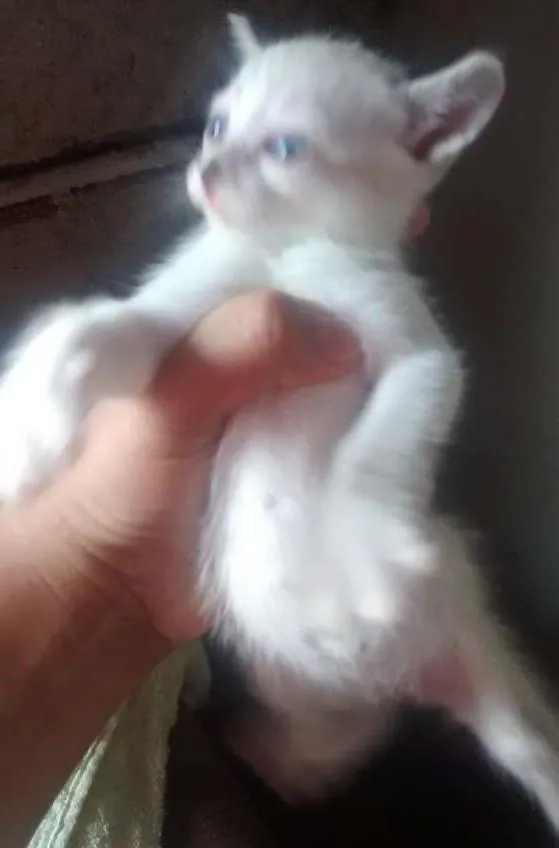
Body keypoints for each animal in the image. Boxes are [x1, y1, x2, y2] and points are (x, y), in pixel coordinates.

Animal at [2, 12, 559, 832]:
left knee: (526, 749)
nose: (205, 170)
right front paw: (32, 417)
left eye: (286, 148)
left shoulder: (422, 359)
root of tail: (403, 677)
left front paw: (369, 548)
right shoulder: (195, 326)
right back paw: (277, 753)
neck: (284, 255)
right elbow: (110, 327)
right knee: (332, 753)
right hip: (310, 703)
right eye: (217, 126)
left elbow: (376, 449)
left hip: (467, 635)